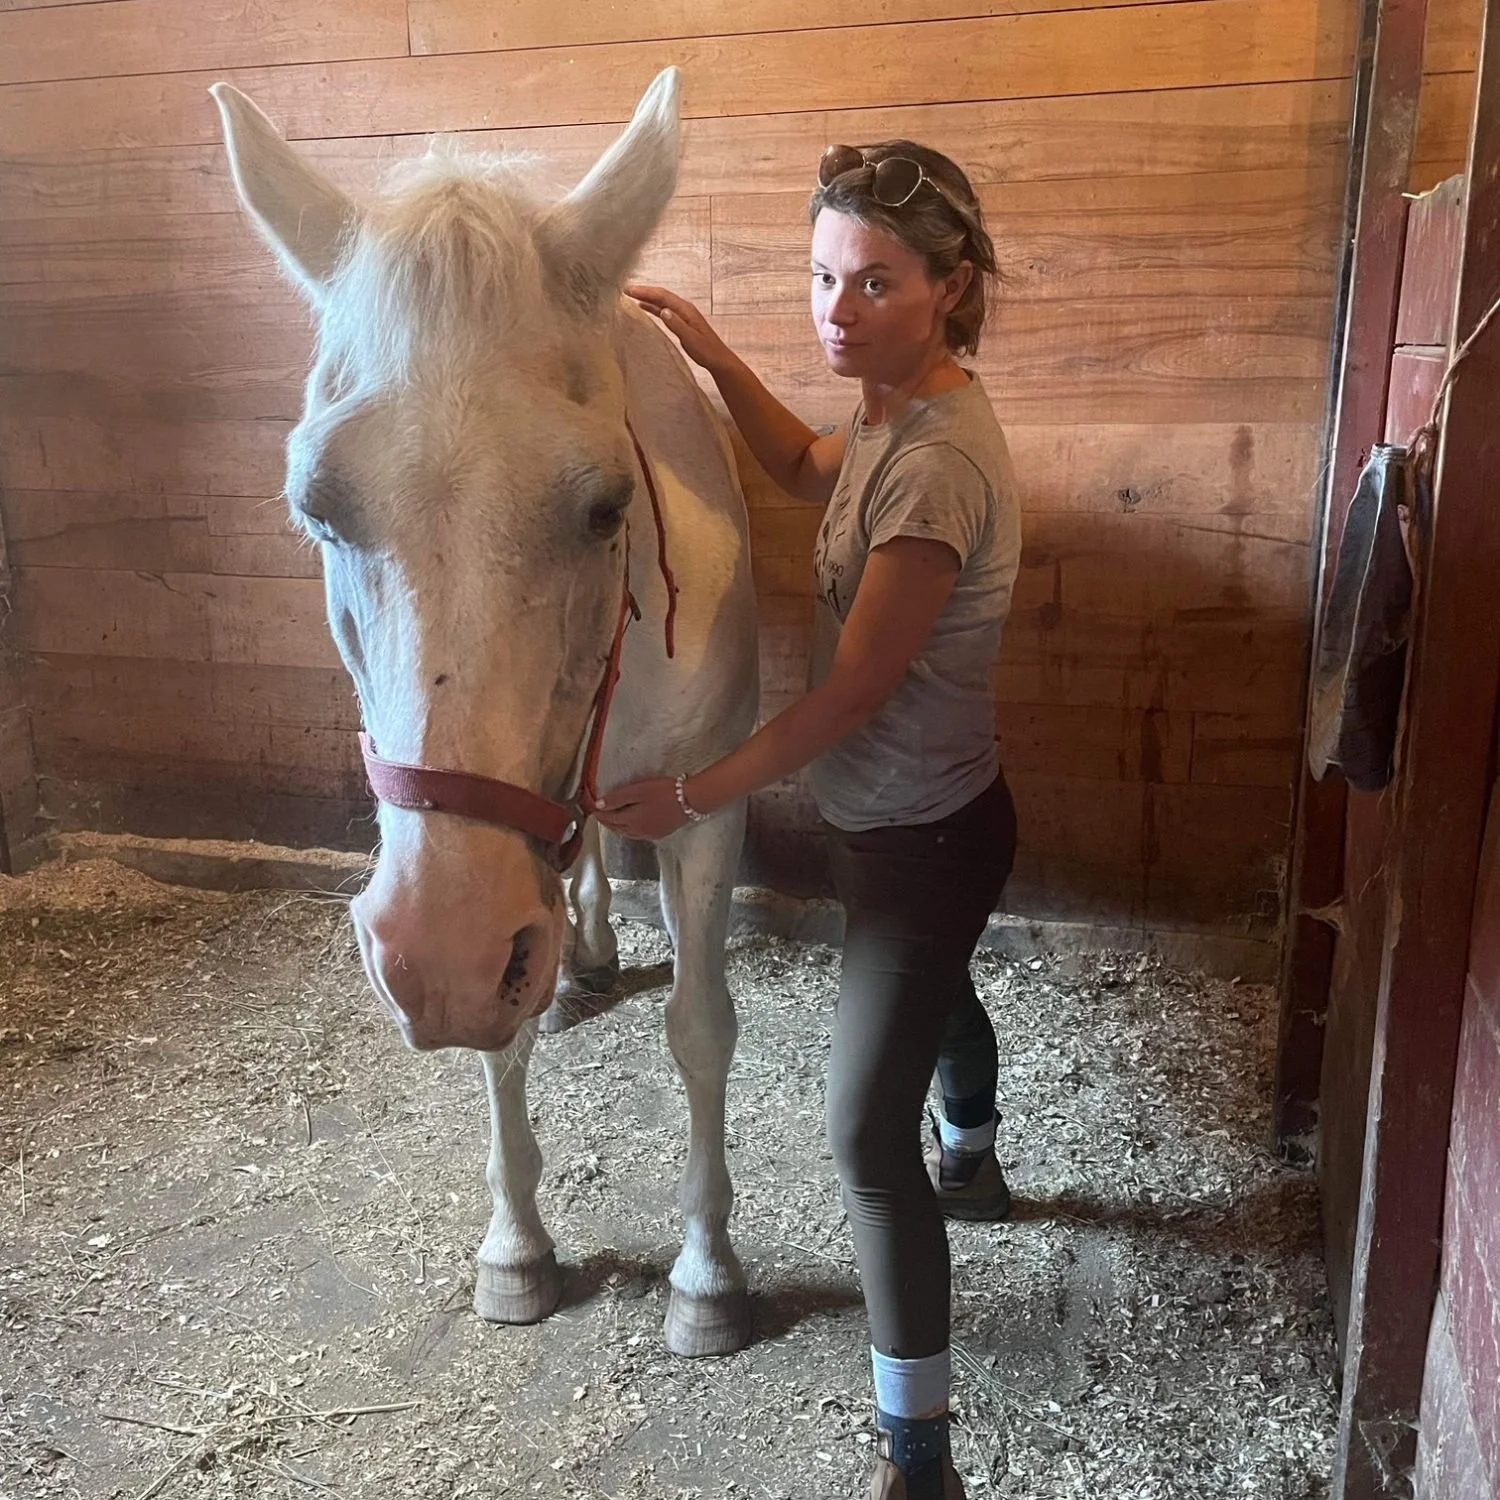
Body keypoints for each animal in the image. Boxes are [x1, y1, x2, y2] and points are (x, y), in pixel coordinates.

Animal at [211, 69, 762, 1357]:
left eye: (606, 507)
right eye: (315, 507)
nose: (446, 955)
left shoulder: (708, 806)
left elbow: (701, 1029)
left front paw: (706, 1272)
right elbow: (499, 1039)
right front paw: (517, 1248)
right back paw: (580, 963)